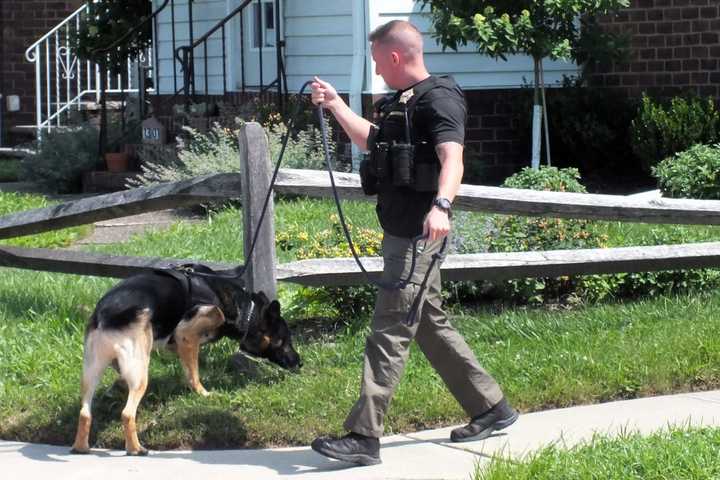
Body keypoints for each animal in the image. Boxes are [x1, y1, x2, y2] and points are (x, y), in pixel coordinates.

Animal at [70, 264, 300, 456]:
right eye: (284, 340)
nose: (300, 363)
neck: (246, 310)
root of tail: (107, 314)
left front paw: (116, 387)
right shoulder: (186, 335)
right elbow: (193, 374)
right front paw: (204, 394)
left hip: (91, 372)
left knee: (84, 413)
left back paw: (81, 447)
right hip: (139, 373)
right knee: (127, 414)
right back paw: (136, 449)